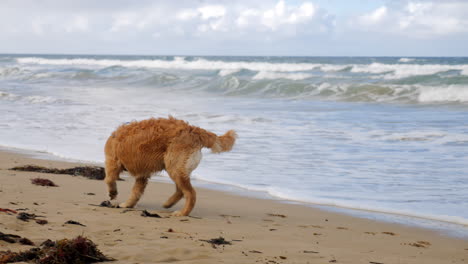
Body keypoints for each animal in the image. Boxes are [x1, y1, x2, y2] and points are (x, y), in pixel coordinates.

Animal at [106, 116, 238, 216]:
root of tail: (194, 130)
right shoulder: (142, 175)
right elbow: (136, 192)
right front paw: (128, 204)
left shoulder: (112, 161)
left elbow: (109, 179)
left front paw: (113, 193)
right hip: (176, 168)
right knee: (181, 191)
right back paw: (168, 203)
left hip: (174, 167)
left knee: (190, 193)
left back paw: (182, 213)